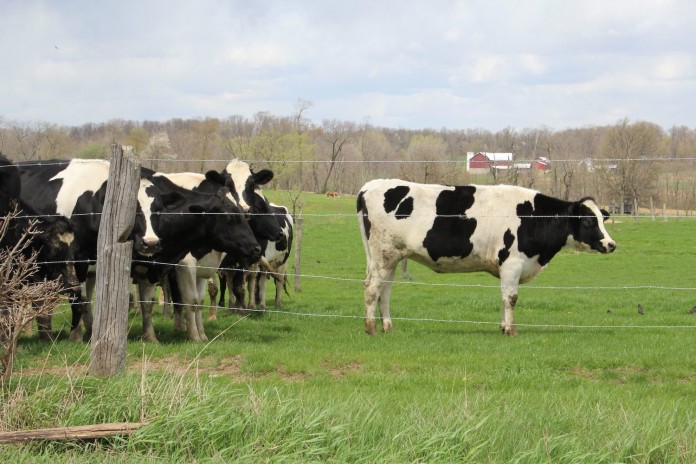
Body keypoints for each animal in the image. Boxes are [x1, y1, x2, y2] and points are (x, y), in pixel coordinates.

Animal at [356, 179, 616, 336]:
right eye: (588, 221)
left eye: (602, 219)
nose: (611, 244)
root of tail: (369, 186)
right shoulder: (513, 263)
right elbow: (511, 298)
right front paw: (511, 330)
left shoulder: (506, 267)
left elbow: (503, 297)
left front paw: (503, 326)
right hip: (382, 256)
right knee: (372, 287)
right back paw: (370, 328)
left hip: (390, 257)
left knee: (384, 290)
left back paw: (387, 326)